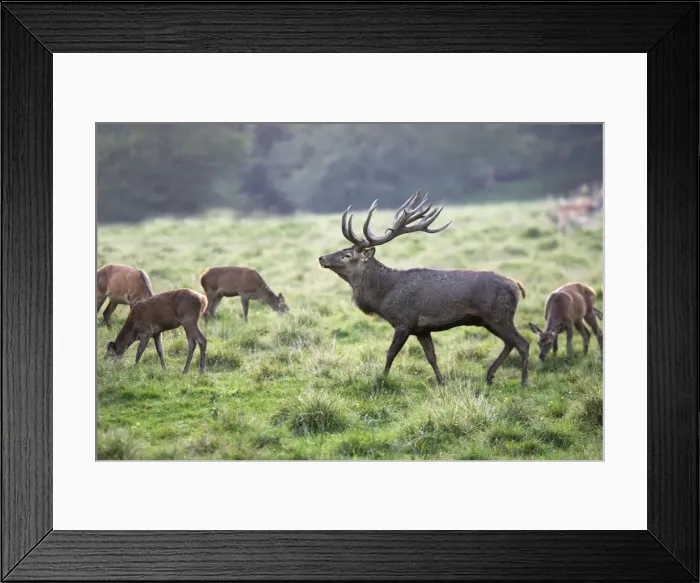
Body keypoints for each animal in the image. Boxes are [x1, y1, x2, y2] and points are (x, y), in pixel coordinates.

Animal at [318, 190, 530, 387]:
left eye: (346, 255)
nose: (321, 258)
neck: (383, 295)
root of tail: (516, 284)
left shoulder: (404, 321)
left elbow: (390, 353)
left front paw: (382, 379)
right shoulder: (422, 329)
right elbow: (431, 357)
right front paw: (442, 382)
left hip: (499, 315)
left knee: (522, 343)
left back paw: (523, 382)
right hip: (488, 320)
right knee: (510, 343)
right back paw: (489, 375)